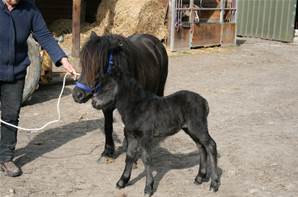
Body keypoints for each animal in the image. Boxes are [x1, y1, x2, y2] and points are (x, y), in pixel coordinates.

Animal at [72, 32, 168, 161]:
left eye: (98, 67)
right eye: (83, 64)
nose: (77, 95)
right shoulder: (106, 107)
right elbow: (108, 127)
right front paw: (108, 151)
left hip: (160, 87)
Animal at [92, 64, 220, 195]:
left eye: (109, 86)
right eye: (98, 86)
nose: (94, 102)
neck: (136, 106)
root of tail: (204, 101)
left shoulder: (145, 136)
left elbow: (146, 159)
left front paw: (148, 187)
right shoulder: (131, 135)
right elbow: (129, 155)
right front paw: (122, 181)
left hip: (198, 126)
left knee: (211, 145)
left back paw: (214, 184)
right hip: (190, 129)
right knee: (201, 147)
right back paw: (199, 178)